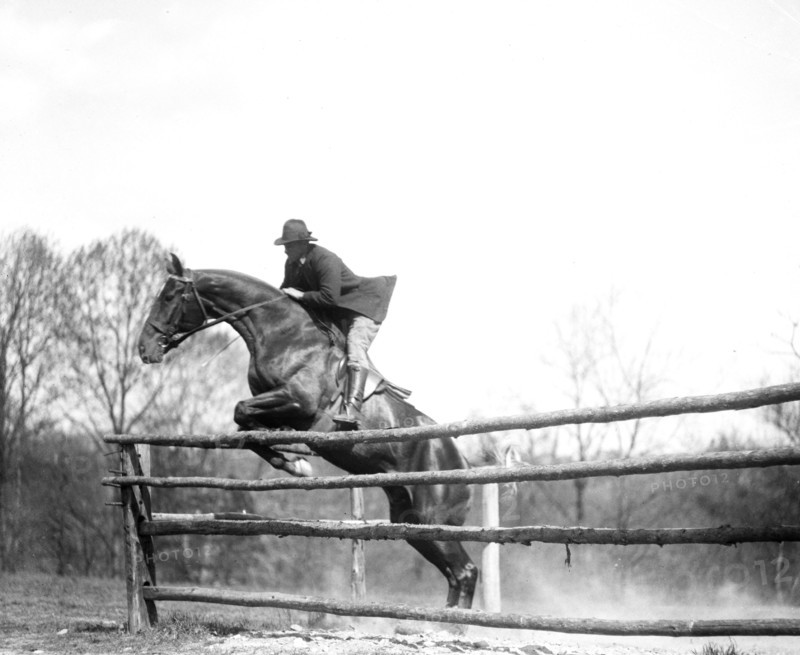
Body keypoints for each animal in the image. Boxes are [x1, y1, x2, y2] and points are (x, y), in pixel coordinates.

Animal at [137, 254, 478, 608]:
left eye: (169, 297)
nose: (145, 349)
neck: (281, 334)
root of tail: (463, 461)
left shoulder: (299, 402)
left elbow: (242, 411)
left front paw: (297, 460)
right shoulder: (275, 405)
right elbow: (246, 427)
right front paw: (294, 461)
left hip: (431, 516)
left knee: (465, 571)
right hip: (410, 519)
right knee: (454, 573)